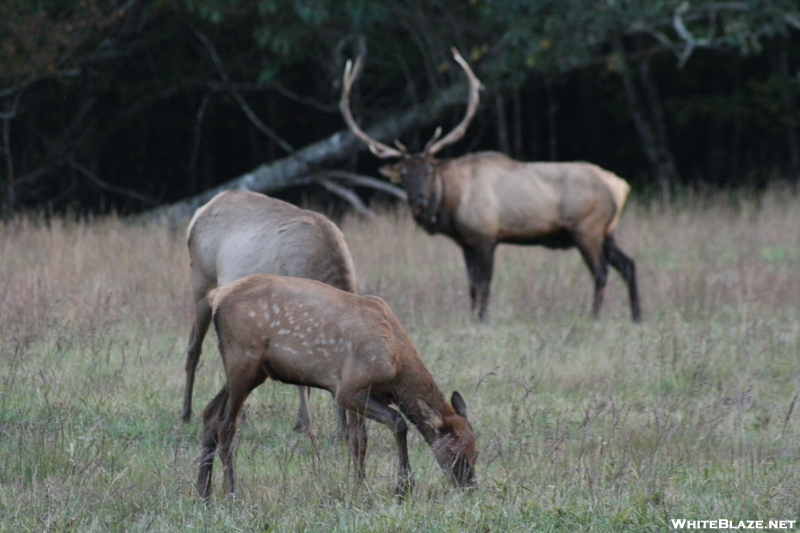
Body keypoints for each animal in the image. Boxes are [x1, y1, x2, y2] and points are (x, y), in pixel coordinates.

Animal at [183, 187, 358, 436]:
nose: (346, 433)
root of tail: (200, 211)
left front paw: (300, 423)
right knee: (194, 346)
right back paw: (186, 413)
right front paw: (308, 427)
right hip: (202, 281)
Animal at [198, 274, 478, 498]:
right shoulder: (349, 388)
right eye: (452, 452)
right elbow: (398, 423)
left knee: (209, 413)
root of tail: (216, 296)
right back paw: (230, 491)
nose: (469, 488)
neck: (397, 366)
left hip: (251, 370)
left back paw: (203, 492)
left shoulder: (358, 392)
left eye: (475, 452)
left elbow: (358, 440)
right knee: (227, 425)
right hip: (243, 359)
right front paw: (403, 488)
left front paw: (358, 486)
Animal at [340, 50, 640, 322]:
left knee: (601, 272)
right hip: (607, 231)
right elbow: (472, 286)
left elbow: (484, 285)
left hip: (587, 228)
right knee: (628, 264)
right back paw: (637, 315)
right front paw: (474, 317)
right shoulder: (465, 242)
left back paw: (594, 316)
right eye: (403, 174)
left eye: (429, 171)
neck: (452, 203)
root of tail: (621, 186)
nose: (420, 201)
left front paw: (483, 319)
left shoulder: (486, 235)